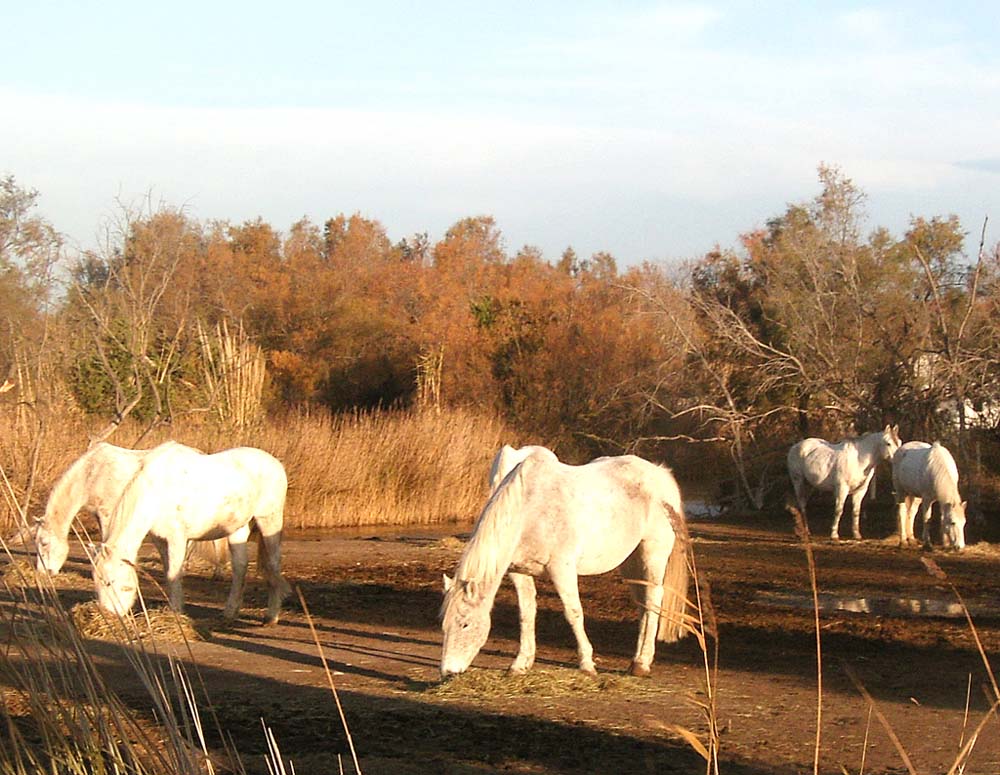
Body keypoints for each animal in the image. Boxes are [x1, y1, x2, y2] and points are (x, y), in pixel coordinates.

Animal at [92, 443, 290, 624]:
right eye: (96, 581)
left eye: (110, 582)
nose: (108, 616)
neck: (158, 489)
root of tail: (275, 463)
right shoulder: (160, 540)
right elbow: (168, 573)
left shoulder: (177, 539)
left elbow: (174, 574)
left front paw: (176, 612)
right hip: (238, 529)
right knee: (240, 567)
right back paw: (230, 612)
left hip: (269, 521)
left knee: (273, 563)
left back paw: (271, 616)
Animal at [441, 452, 690, 679]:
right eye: (444, 625)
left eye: (464, 624)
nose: (448, 673)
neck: (530, 510)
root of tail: (660, 473)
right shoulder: (519, 572)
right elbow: (526, 613)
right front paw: (521, 663)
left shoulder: (561, 568)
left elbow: (574, 613)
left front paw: (587, 663)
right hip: (631, 561)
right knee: (642, 604)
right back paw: (635, 660)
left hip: (653, 554)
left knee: (653, 601)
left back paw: (642, 663)